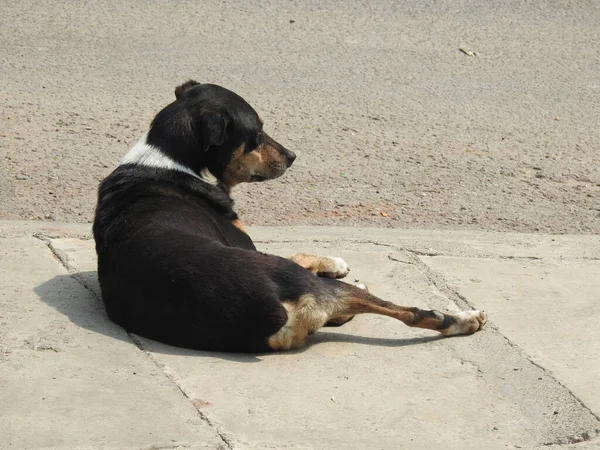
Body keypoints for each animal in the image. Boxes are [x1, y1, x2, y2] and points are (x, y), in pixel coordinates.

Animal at [94, 82, 488, 354]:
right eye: (256, 133)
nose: (293, 156)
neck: (167, 160)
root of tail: (270, 310)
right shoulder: (251, 245)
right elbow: (299, 254)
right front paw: (334, 262)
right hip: (298, 279)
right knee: (410, 312)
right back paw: (461, 319)